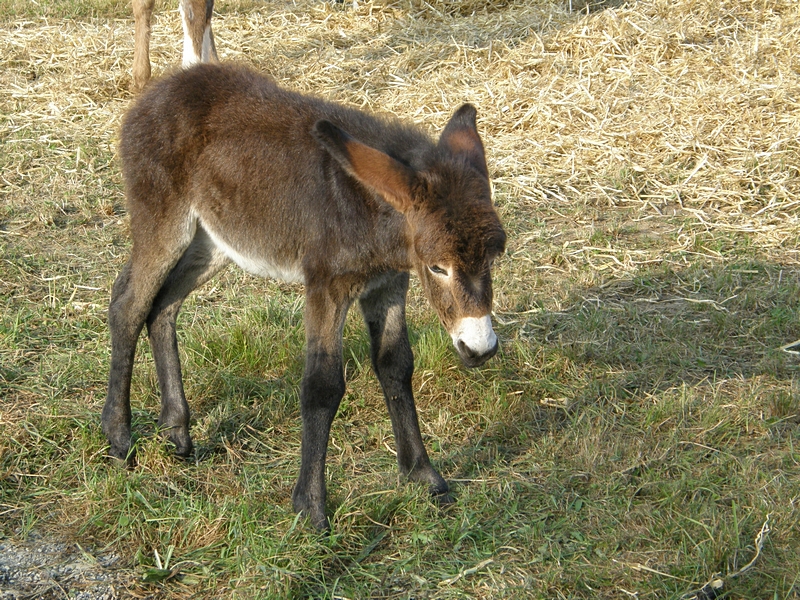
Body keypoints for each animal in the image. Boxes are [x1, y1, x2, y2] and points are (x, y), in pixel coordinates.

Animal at [106, 62, 506, 528]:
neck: (369, 213)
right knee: (129, 304)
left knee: (163, 306)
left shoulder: (388, 285)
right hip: (163, 222)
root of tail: (163, 87)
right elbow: (322, 385)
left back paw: (177, 431)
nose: (480, 349)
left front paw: (423, 476)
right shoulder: (326, 287)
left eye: (493, 258)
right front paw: (311, 508)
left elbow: (396, 365)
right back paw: (119, 439)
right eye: (438, 267)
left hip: (213, 242)